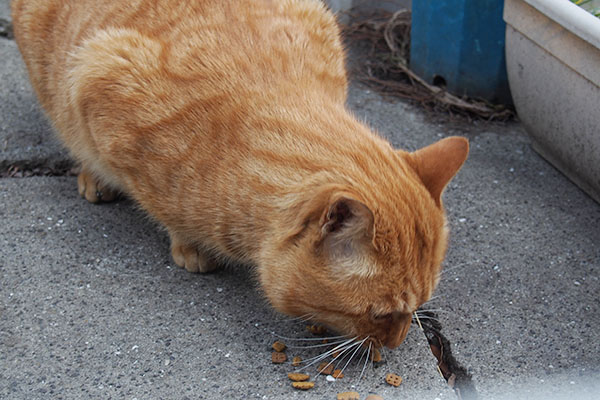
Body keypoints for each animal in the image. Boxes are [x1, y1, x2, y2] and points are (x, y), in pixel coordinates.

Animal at [10, 0, 468, 348]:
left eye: (419, 306)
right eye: (383, 313)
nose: (396, 345)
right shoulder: (100, 77)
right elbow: (160, 205)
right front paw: (190, 245)